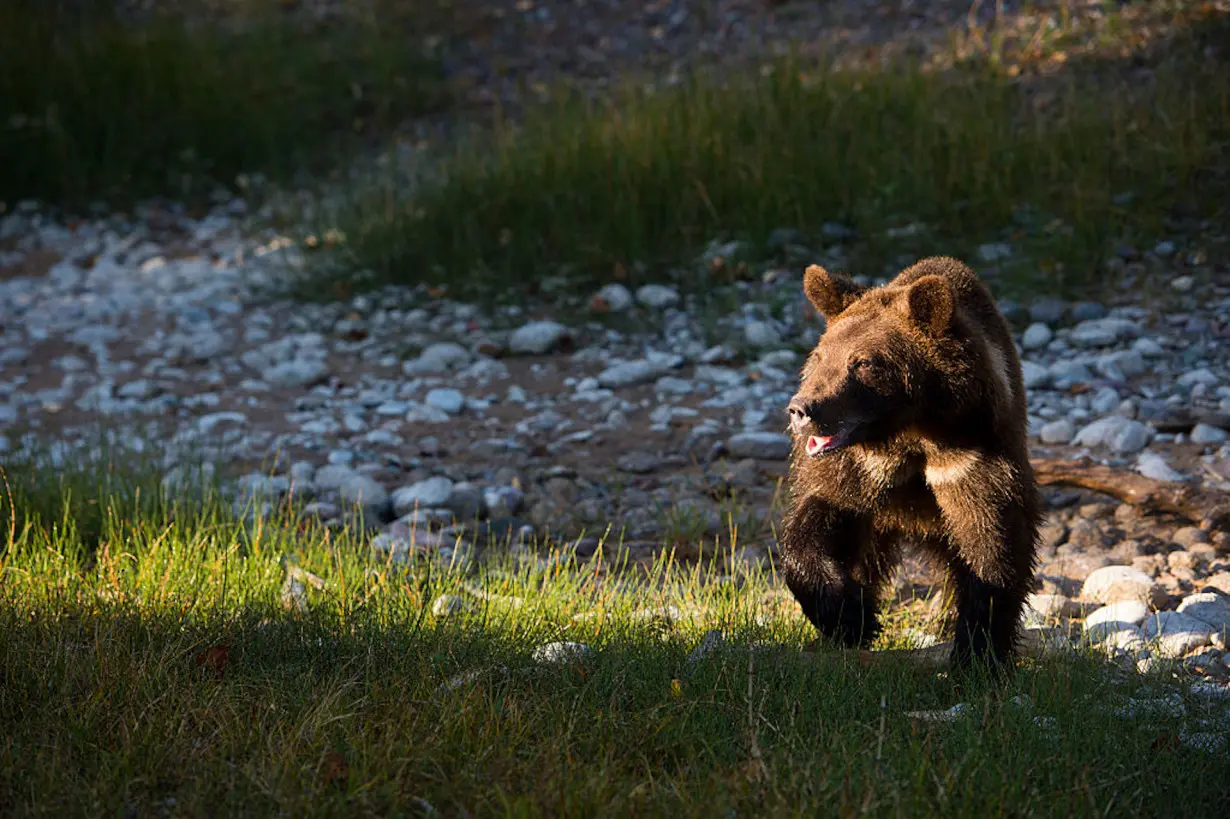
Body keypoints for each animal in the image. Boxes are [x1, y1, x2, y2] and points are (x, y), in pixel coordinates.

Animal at [782, 255, 1033, 668]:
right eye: (819, 356)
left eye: (863, 362)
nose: (802, 410)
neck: (911, 432)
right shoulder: (857, 469)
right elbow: (819, 518)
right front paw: (849, 614)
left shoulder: (971, 456)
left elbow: (990, 543)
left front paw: (977, 653)